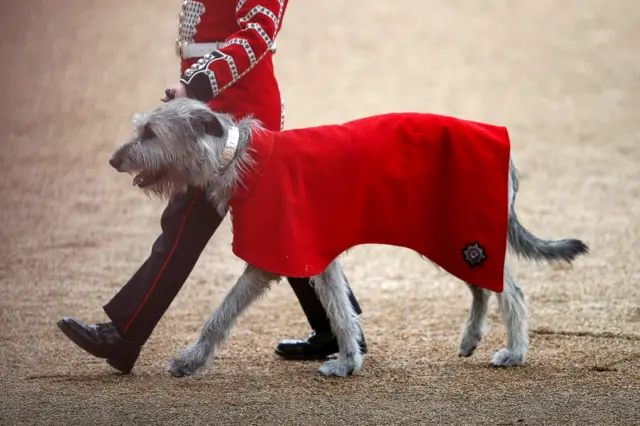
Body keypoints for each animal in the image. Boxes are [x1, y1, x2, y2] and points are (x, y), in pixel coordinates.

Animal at [107, 99, 588, 376]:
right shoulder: (315, 256)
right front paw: (350, 360)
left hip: (465, 234)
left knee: (511, 291)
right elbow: (339, 309)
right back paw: (471, 340)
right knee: (481, 287)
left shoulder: (281, 251)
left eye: (150, 132)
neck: (238, 156)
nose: (113, 160)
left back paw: (515, 352)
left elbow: (223, 312)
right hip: (449, 235)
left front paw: (190, 360)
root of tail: (507, 153)